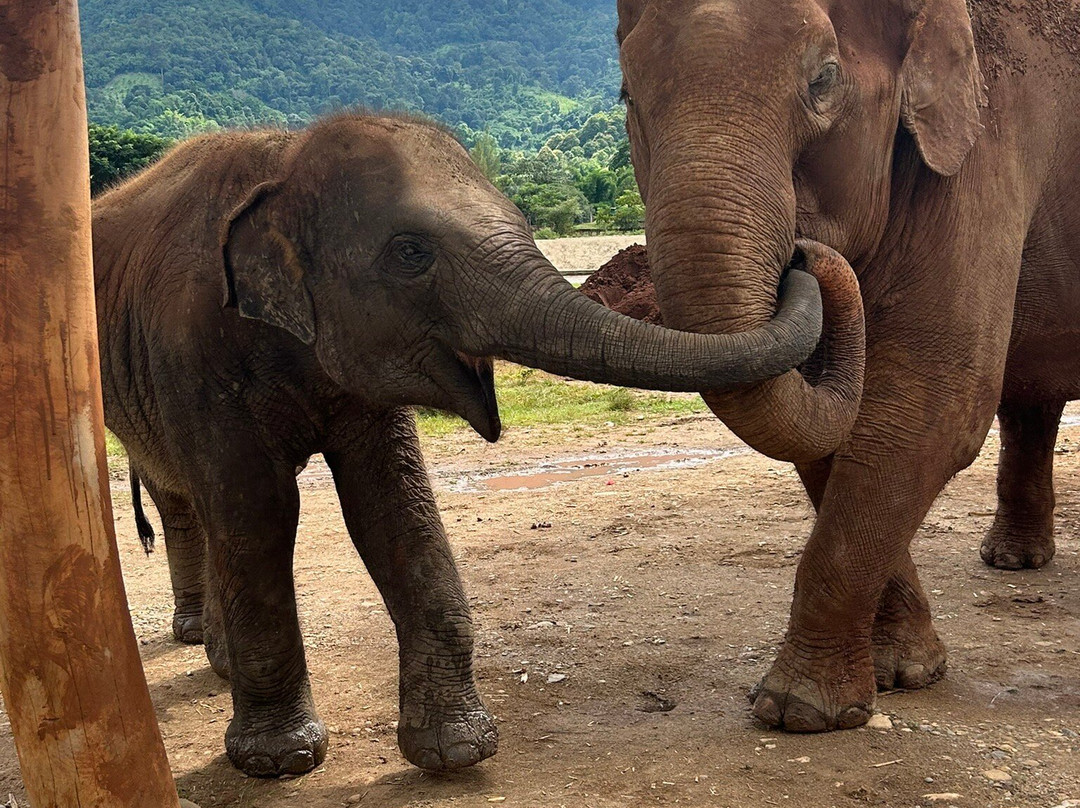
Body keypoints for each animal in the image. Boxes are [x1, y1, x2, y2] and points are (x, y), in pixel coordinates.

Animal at [92, 111, 830, 777]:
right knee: (187, 501)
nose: (803, 253)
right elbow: (259, 516)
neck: (284, 160)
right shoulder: (195, 360)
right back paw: (203, 646)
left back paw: (217, 662)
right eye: (410, 253)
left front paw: (457, 752)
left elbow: (395, 511)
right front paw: (280, 762)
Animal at [615, 0, 1080, 732]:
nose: (807, 252)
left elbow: (930, 406)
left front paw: (798, 711)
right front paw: (904, 673)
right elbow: (836, 423)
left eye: (823, 80)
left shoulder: (990, 147)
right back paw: (1013, 563)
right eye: (627, 95)